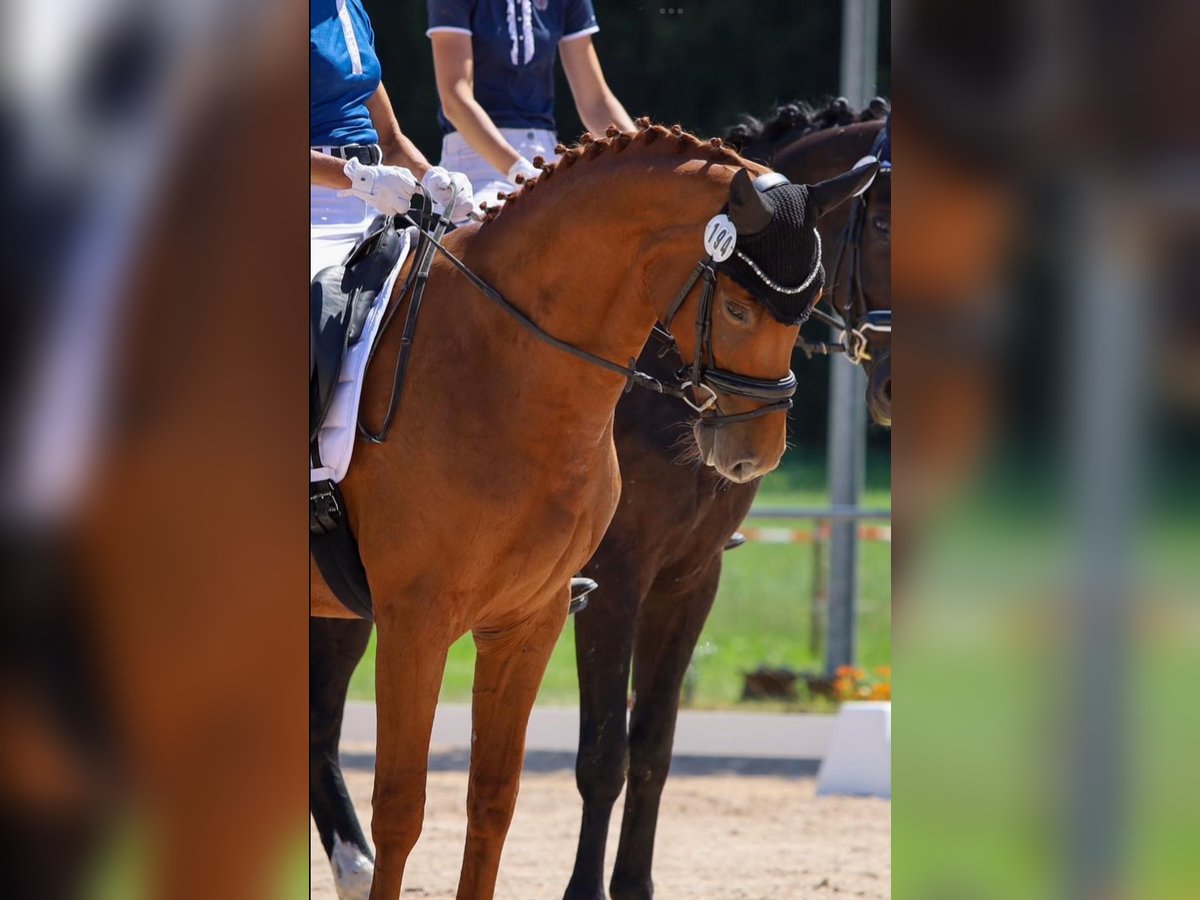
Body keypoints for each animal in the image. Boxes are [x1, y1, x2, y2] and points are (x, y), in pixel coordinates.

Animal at [309, 107, 892, 900]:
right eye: (738, 307)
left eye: (803, 308)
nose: (753, 451)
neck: (506, 367)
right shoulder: (435, 616)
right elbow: (443, 794)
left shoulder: (598, 599)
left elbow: (543, 782)